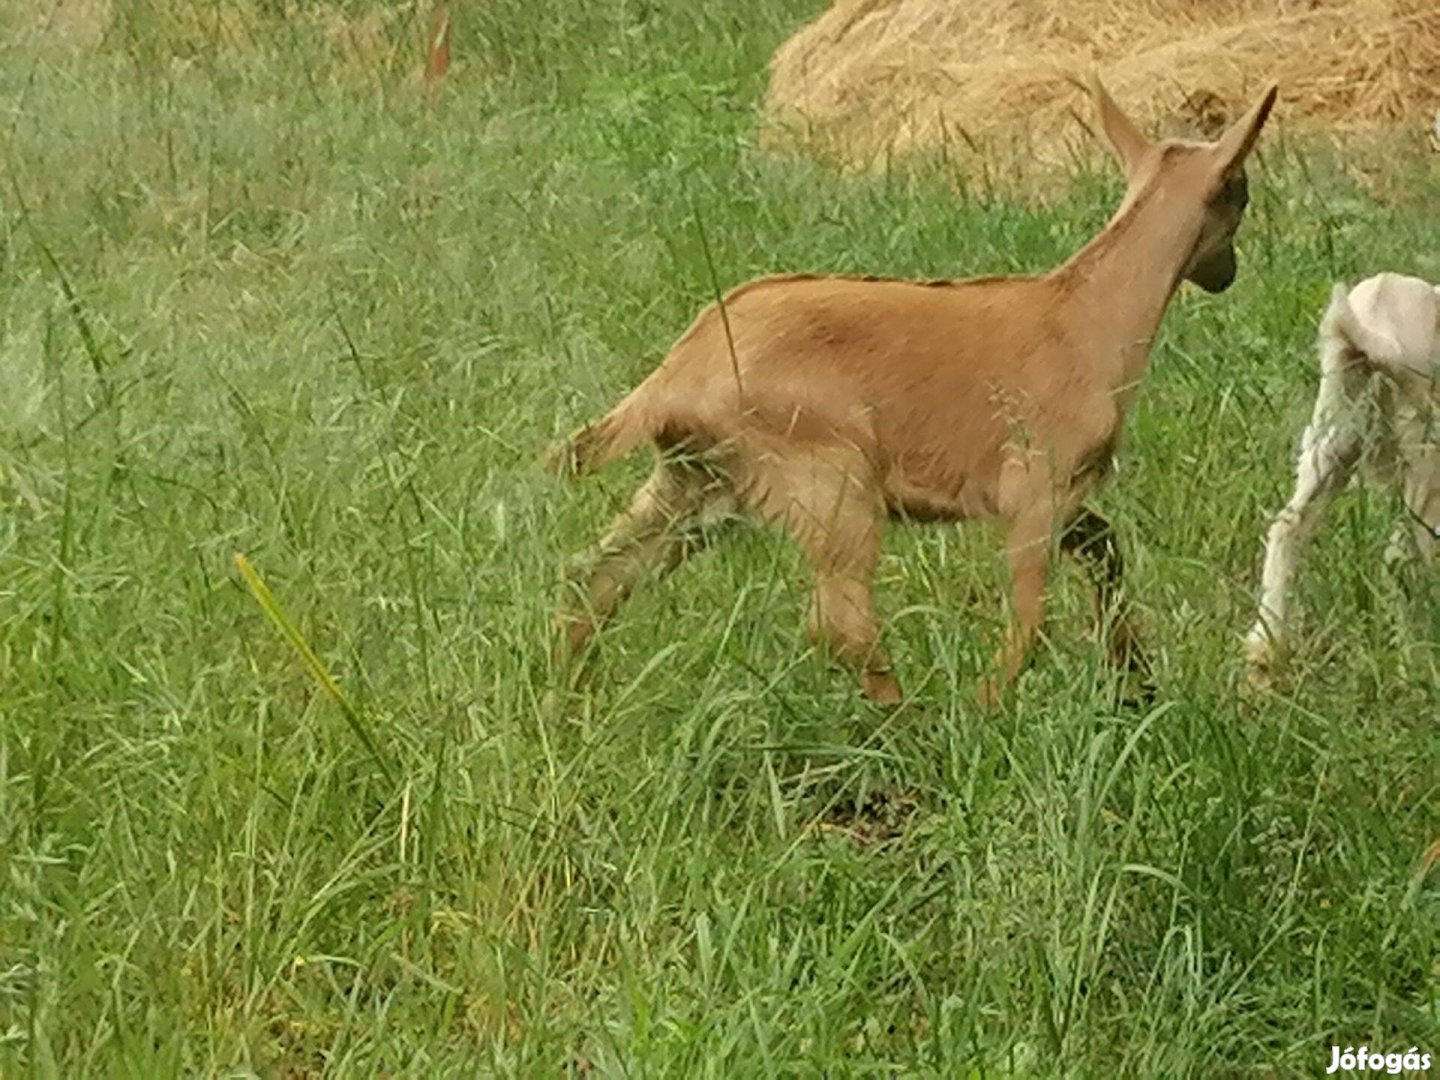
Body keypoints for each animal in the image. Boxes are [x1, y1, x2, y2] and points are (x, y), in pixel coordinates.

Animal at [1244, 272, 1434, 676]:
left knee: (1288, 524)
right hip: (1425, 451)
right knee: (1404, 561)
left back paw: (1267, 645)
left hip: (1333, 434)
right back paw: (1419, 666)